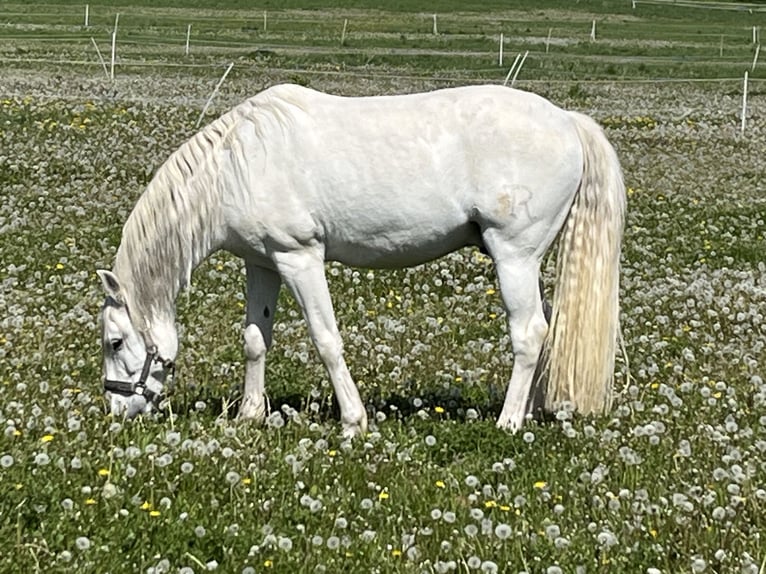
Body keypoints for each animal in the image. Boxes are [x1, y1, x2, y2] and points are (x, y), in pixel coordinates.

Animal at [96, 83, 628, 438]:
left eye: (115, 342)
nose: (115, 413)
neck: (238, 165)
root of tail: (567, 120)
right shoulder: (263, 264)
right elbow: (255, 340)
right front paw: (249, 415)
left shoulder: (299, 258)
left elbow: (327, 340)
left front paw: (353, 422)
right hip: (525, 262)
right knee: (544, 329)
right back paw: (532, 411)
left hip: (513, 256)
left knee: (528, 333)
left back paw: (509, 421)